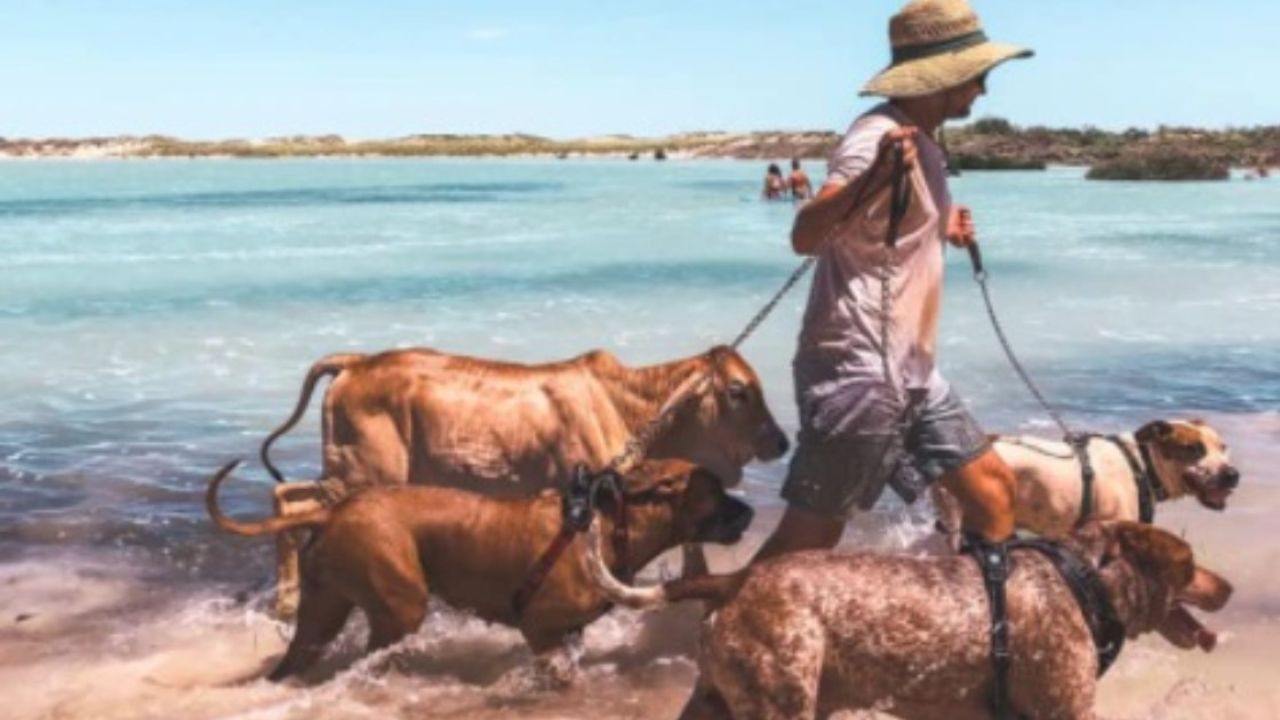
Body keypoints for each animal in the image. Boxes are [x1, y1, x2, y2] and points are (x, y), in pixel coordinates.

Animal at [203, 456, 747, 681]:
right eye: (716, 492)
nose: (748, 511)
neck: (613, 522)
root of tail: (332, 511)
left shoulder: (567, 634)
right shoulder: (542, 630)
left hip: (322, 611)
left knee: (299, 653)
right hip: (400, 606)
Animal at [257, 345, 788, 614]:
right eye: (738, 390)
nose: (782, 442)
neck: (633, 407)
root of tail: (357, 362)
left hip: (345, 472)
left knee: (285, 497)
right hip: (362, 473)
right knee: (294, 507)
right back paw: (287, 600)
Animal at [586, 517, 1228, 712]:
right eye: (1189, 563)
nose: (1227, 586)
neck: (1082, 579)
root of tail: (737, 578)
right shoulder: (1068, 711)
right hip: (783, 702)